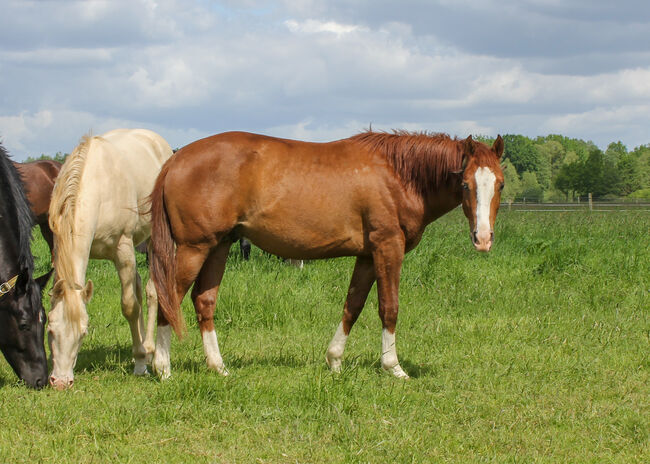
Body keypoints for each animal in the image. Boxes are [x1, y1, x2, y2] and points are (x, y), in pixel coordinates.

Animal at [47, 129, 172, 390]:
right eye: (50, 330)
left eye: (83, 333)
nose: (61, 382)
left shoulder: (123, 249)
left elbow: (130, 306)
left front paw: (140, 363)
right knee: (137, 285)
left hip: (153, 238)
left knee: (150, 291)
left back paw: (149, 350)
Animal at [149, 130, 504, 376]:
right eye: (465, 185)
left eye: (499, 184)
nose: (483, 238)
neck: (397, 175)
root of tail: (176, 159)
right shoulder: (388, 247)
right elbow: (388, 308)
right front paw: (393, 367)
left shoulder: (367, 255)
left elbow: (353, 306)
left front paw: (335, 361)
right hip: (195, 248)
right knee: (167, 296)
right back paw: (162, 367)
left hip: (219, 245)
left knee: (203, 301)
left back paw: (218, 366)